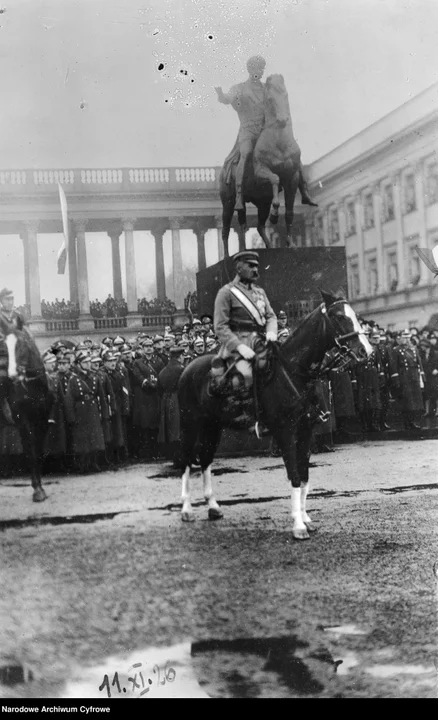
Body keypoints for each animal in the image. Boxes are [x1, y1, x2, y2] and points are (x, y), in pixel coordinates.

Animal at [0, 330, 51, 500]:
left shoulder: (42, 420)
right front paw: (37, 489)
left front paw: (41, 486)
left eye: (22, 345)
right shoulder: (23, 422)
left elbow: (39, 450)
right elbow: (30, 451)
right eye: (5, 346)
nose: (12, 374)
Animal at [176, 292, 372, 540]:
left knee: (206, 459)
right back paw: (186, 510)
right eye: (339, 317)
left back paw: (212, 507)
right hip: (190, 424)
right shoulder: (286, 432)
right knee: (186, 459)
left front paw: (306, 519)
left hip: (213, 426)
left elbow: (304, 476)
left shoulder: (305, 431)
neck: (293, 371)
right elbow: (295, 476)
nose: (366, 351)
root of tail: (188, 368)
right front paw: (298, 525)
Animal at [219, 73, 304, 258]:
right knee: (226, 228)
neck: (279, 143)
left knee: (258, 225)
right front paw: (275, 215)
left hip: (262, 202)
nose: (282, 120)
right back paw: (229, 256)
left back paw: (269, 247)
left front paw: (291, 244)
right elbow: (275, 178)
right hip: (228, 202)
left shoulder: (292, 178)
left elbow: (289, 212)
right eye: (270, 98)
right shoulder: (261, 171)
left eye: (285, 95)